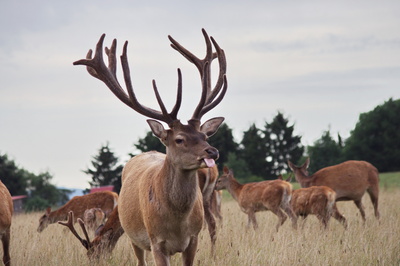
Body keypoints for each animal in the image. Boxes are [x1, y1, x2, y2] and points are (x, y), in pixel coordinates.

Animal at [72, 28, 227, 264]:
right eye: (179, 139)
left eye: (204, 135)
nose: (212, 151)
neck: (177, 223)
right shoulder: (156, 242)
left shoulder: (192, 239)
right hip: (136, 238)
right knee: (140, 260)